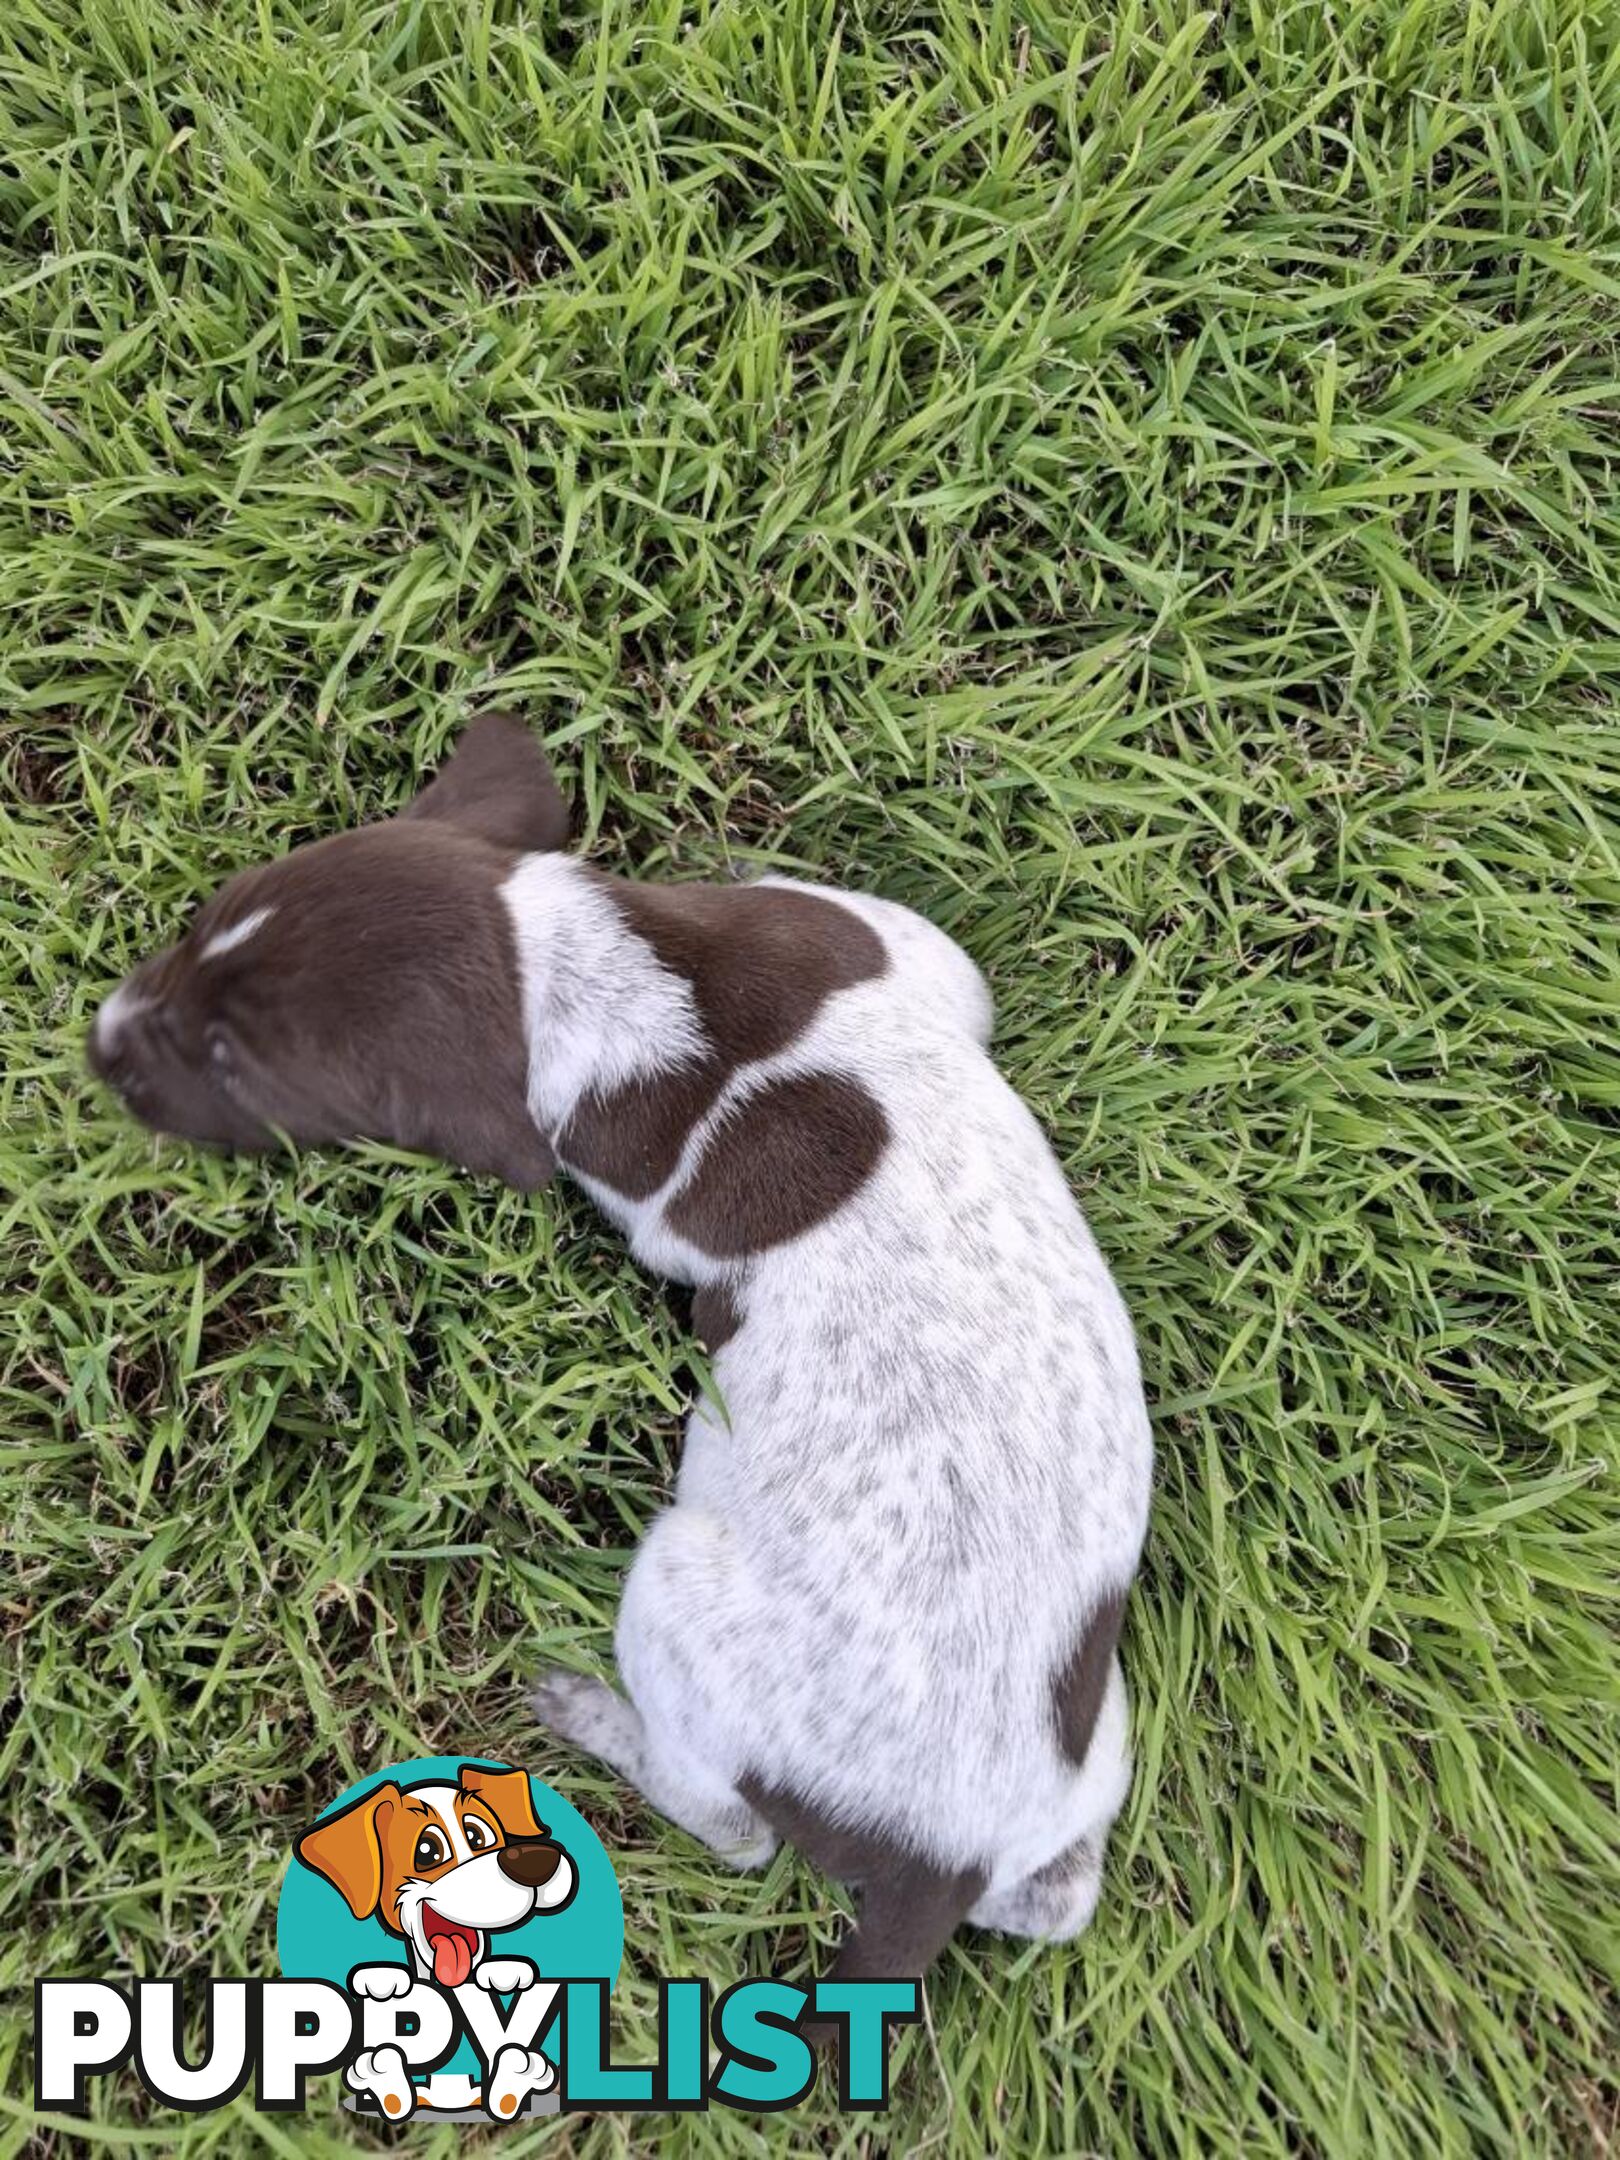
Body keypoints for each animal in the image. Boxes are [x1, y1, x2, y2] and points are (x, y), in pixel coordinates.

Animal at [88, 712, 1157, 1987]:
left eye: (233, 1065)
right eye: (199, 924)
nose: (98, 1042)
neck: (618, 984)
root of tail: (937, 1864)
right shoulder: (900, 948)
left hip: (677, 1595)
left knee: (736, 1829)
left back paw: (585, 1722)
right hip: (1094, 1744)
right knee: (1057, 1897)